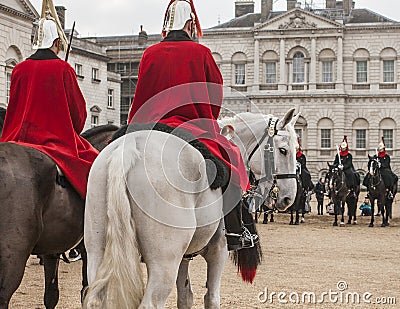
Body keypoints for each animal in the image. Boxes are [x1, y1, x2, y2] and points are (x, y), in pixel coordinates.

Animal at [83, 109, 298, 308]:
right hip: (164, 262)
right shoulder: (218, 250)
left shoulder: (184, 257)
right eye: (283, 150)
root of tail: (128, 149)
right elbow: (211, 298)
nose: (288, 197)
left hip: (97, 252)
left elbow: (185, 297)